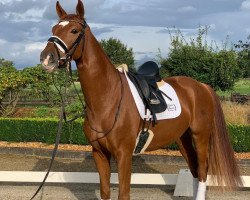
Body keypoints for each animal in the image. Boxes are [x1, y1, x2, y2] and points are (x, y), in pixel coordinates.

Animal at [40, 0, 242, 199]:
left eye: (74, 30)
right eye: (53, 29)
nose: (46, 58)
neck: (108, 99)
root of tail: (201, 86)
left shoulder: (124, 154)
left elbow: (123, 193)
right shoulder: (99, 153)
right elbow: (105, 192)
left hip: (200, 136)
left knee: (202, 172)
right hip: (182, 138)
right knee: (194, 169)